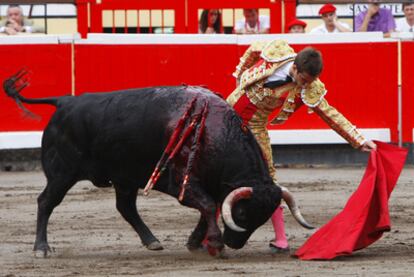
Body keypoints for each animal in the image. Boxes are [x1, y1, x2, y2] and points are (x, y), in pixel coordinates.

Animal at [2, 71, 310, 256]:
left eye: (261, 218)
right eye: (244, 214)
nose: (235, 243)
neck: (213, 131)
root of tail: (65, 102)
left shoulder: (210, 184)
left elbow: (208, 208)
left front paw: (197, 242)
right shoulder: (182, 182)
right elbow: (209, 205)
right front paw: (214, 243)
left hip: (123, 177)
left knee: (126, 207)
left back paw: (152, 241)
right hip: (61, 174)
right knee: (46, 202)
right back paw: (41, 248)